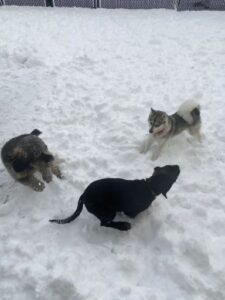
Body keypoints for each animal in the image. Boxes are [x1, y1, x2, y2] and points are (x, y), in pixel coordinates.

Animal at [50, 165, 180, 231]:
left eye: (168, 166)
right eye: (174, 173)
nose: (178, 166)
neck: (149, 186)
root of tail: (83, 195)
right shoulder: (131, 212)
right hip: (107, 211)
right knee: (105, 223)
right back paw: (124, 226)